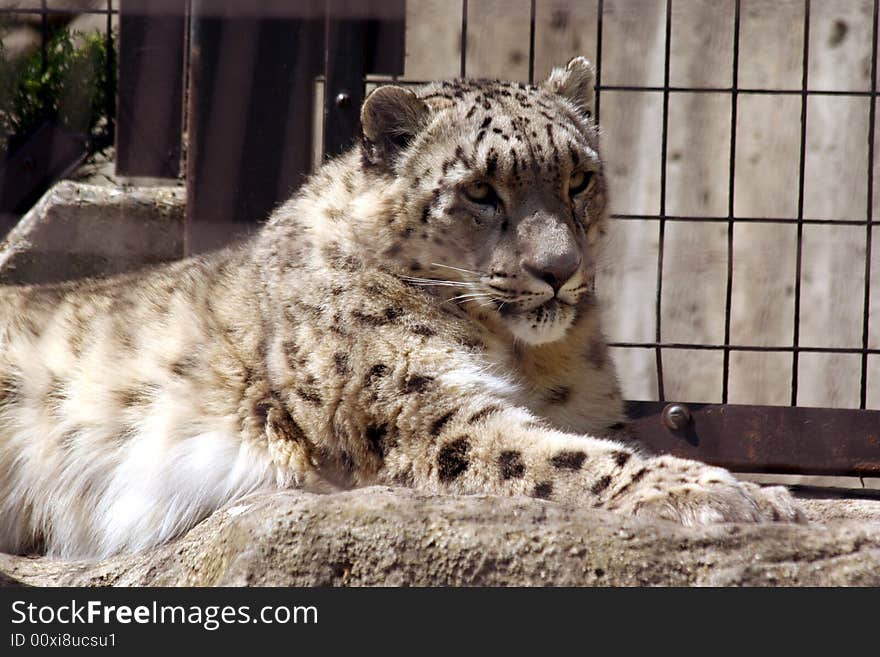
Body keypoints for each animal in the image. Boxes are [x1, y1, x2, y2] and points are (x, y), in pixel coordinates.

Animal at [0, 57, 804, 560]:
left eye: (579, 178)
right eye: (480, 190)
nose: (558, 271)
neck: (528, 355)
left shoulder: (585, 409)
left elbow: (594, 442)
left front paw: (762, 491)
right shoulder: (424, 411)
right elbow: (560, 455)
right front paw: (727, 492)